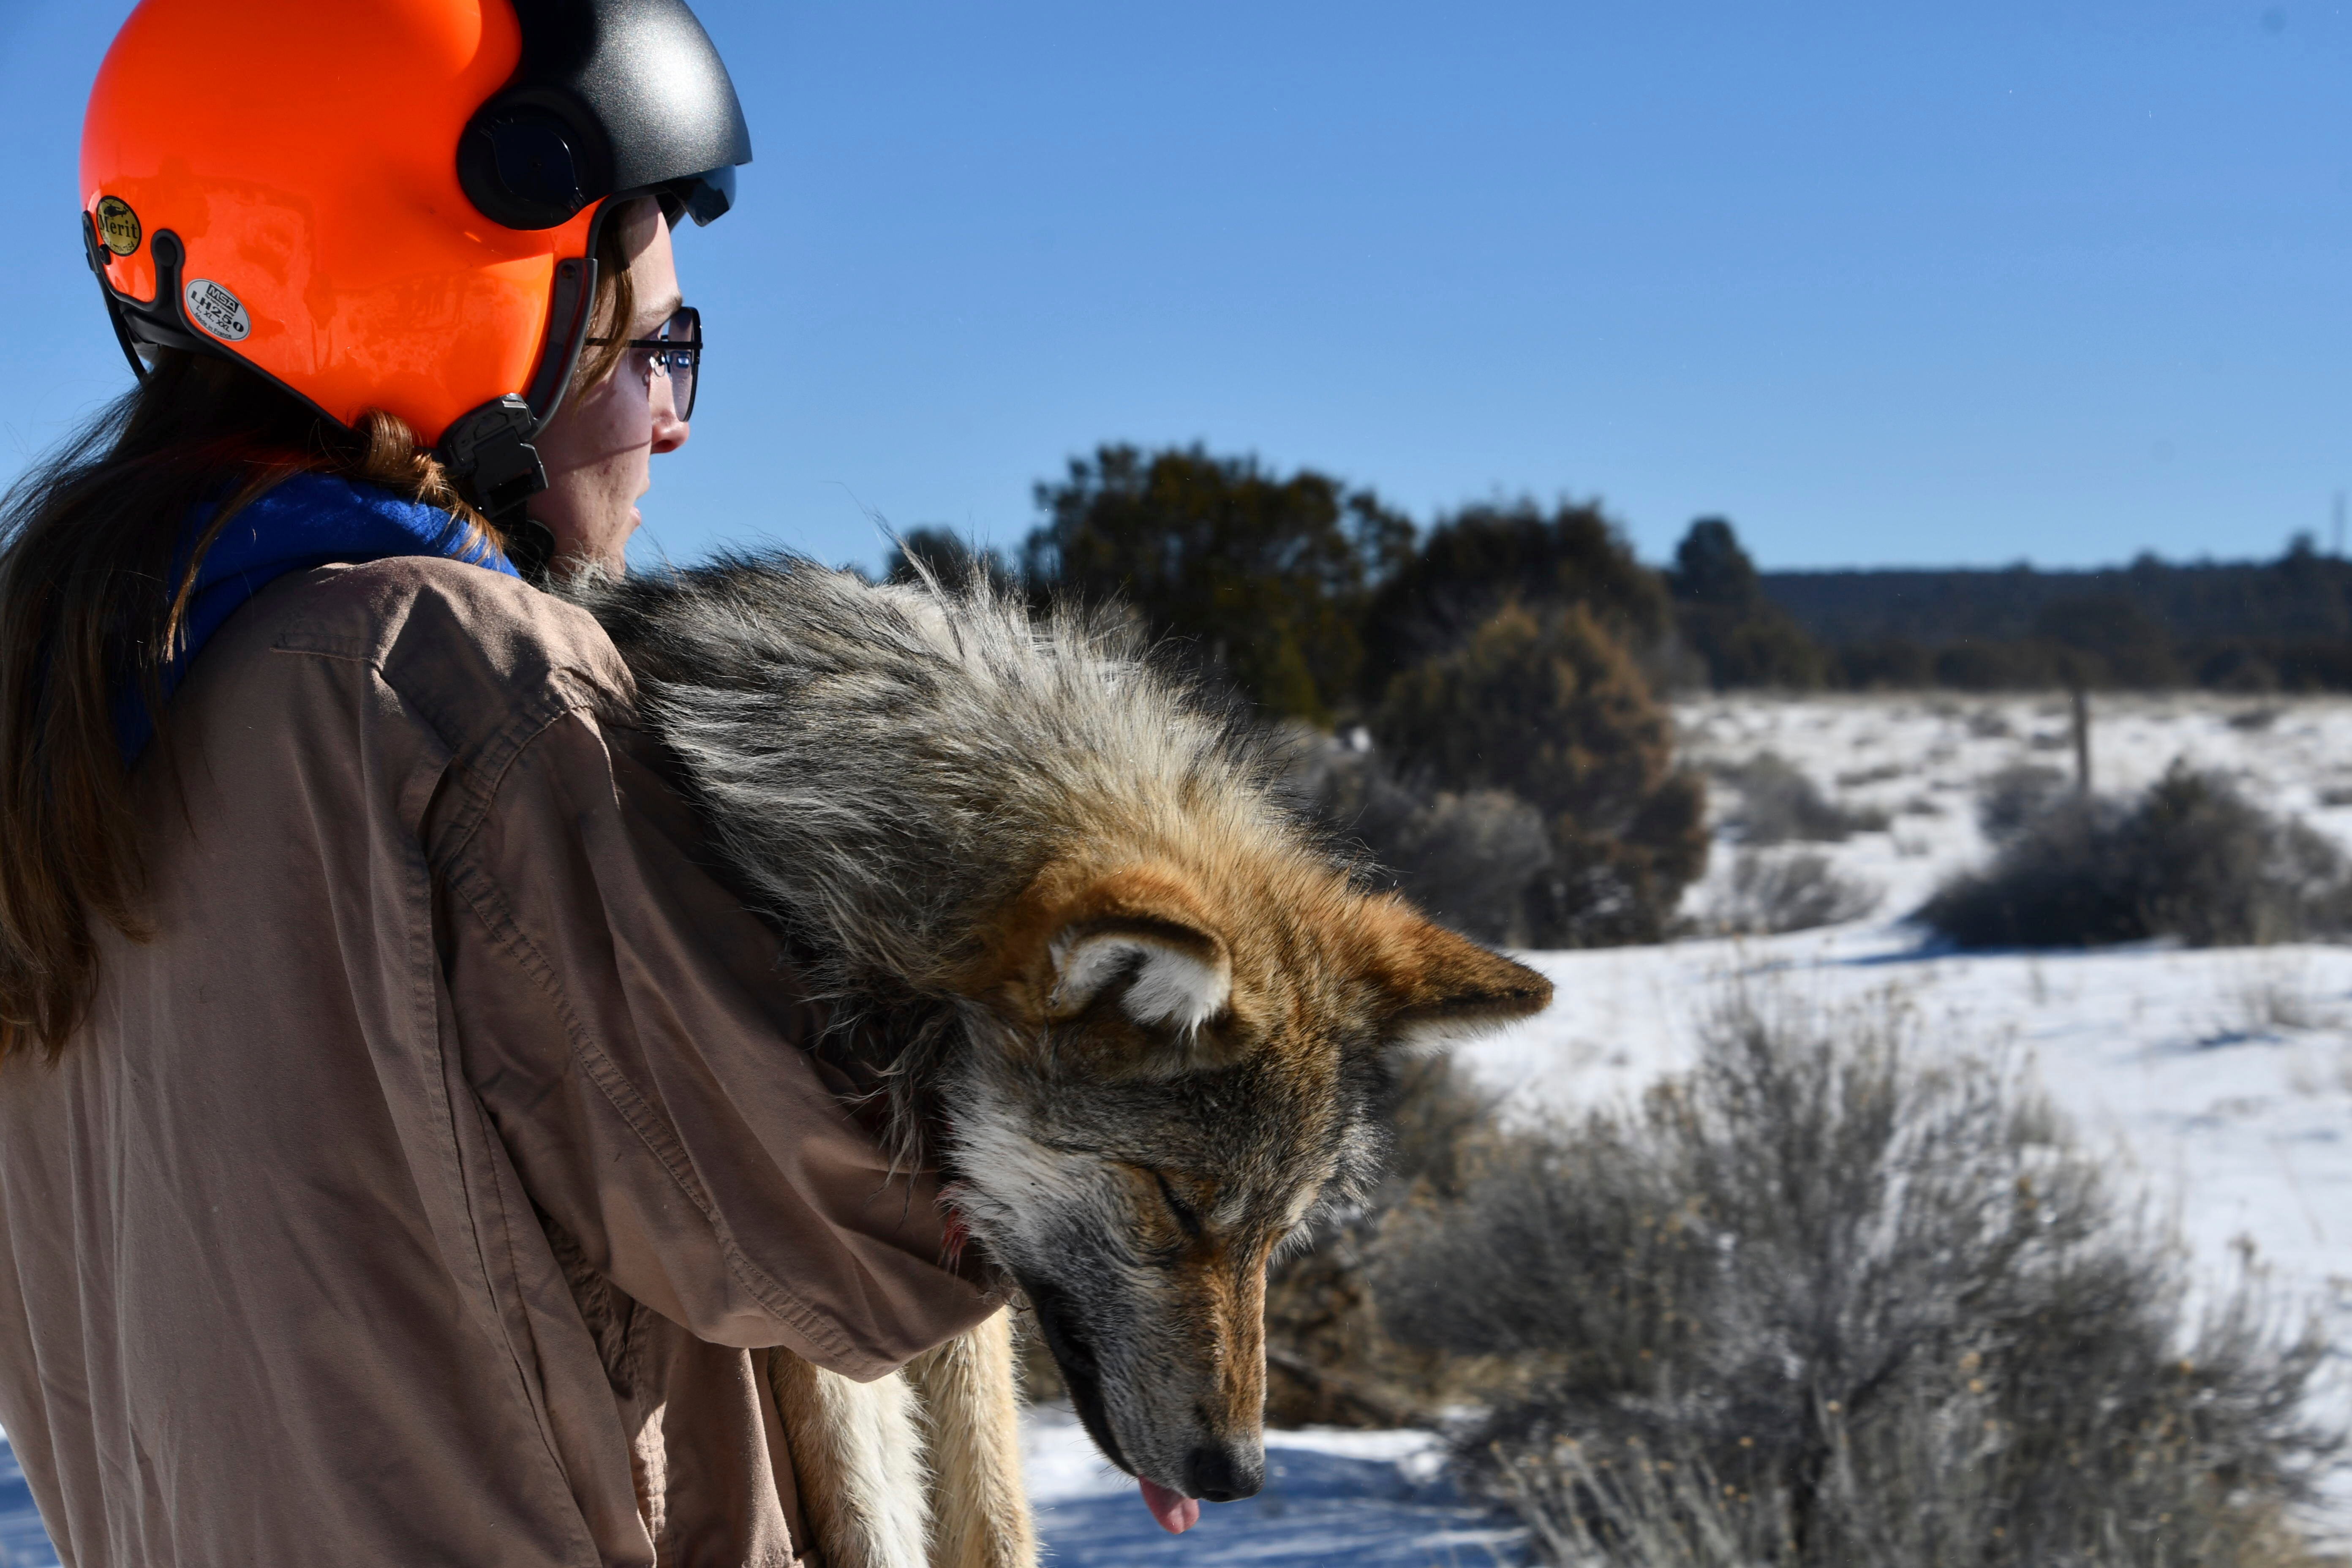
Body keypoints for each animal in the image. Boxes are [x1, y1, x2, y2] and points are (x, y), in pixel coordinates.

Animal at [576, 564, 1552, 1568]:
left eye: (1279, 1233)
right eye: (1176, 1202)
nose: (1239, 1476)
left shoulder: (952, 1289)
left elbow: (997, 1520)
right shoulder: (810, 1292)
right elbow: (872, 1515)